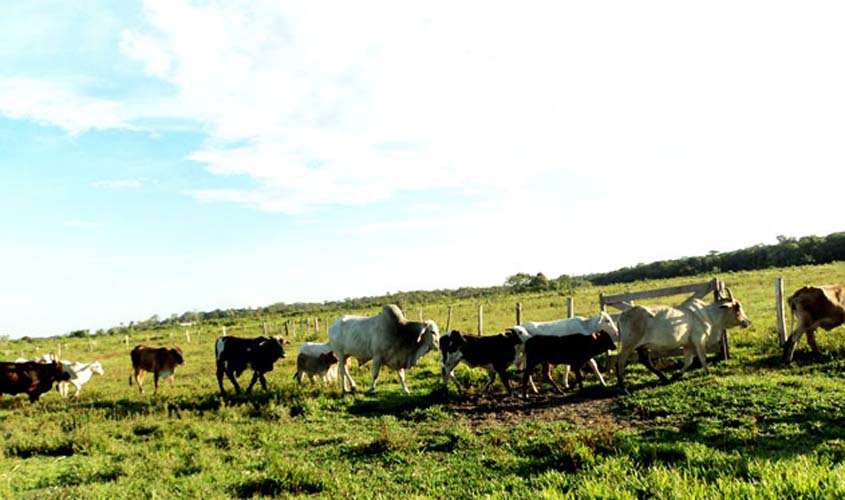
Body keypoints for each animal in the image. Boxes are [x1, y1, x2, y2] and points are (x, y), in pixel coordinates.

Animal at [612, 290, 752, 390]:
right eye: (737, 307)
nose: (747, 322)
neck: (709, 315)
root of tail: (622, 315)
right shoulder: (699, 340)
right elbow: (702, 358)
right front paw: (707, 372)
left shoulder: (688, 344)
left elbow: (689, 361)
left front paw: (677, 374)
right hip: (629, 344)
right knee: (620, 361)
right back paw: (622, 386)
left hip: (642, 346)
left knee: (645, 361)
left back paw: (664, 377)